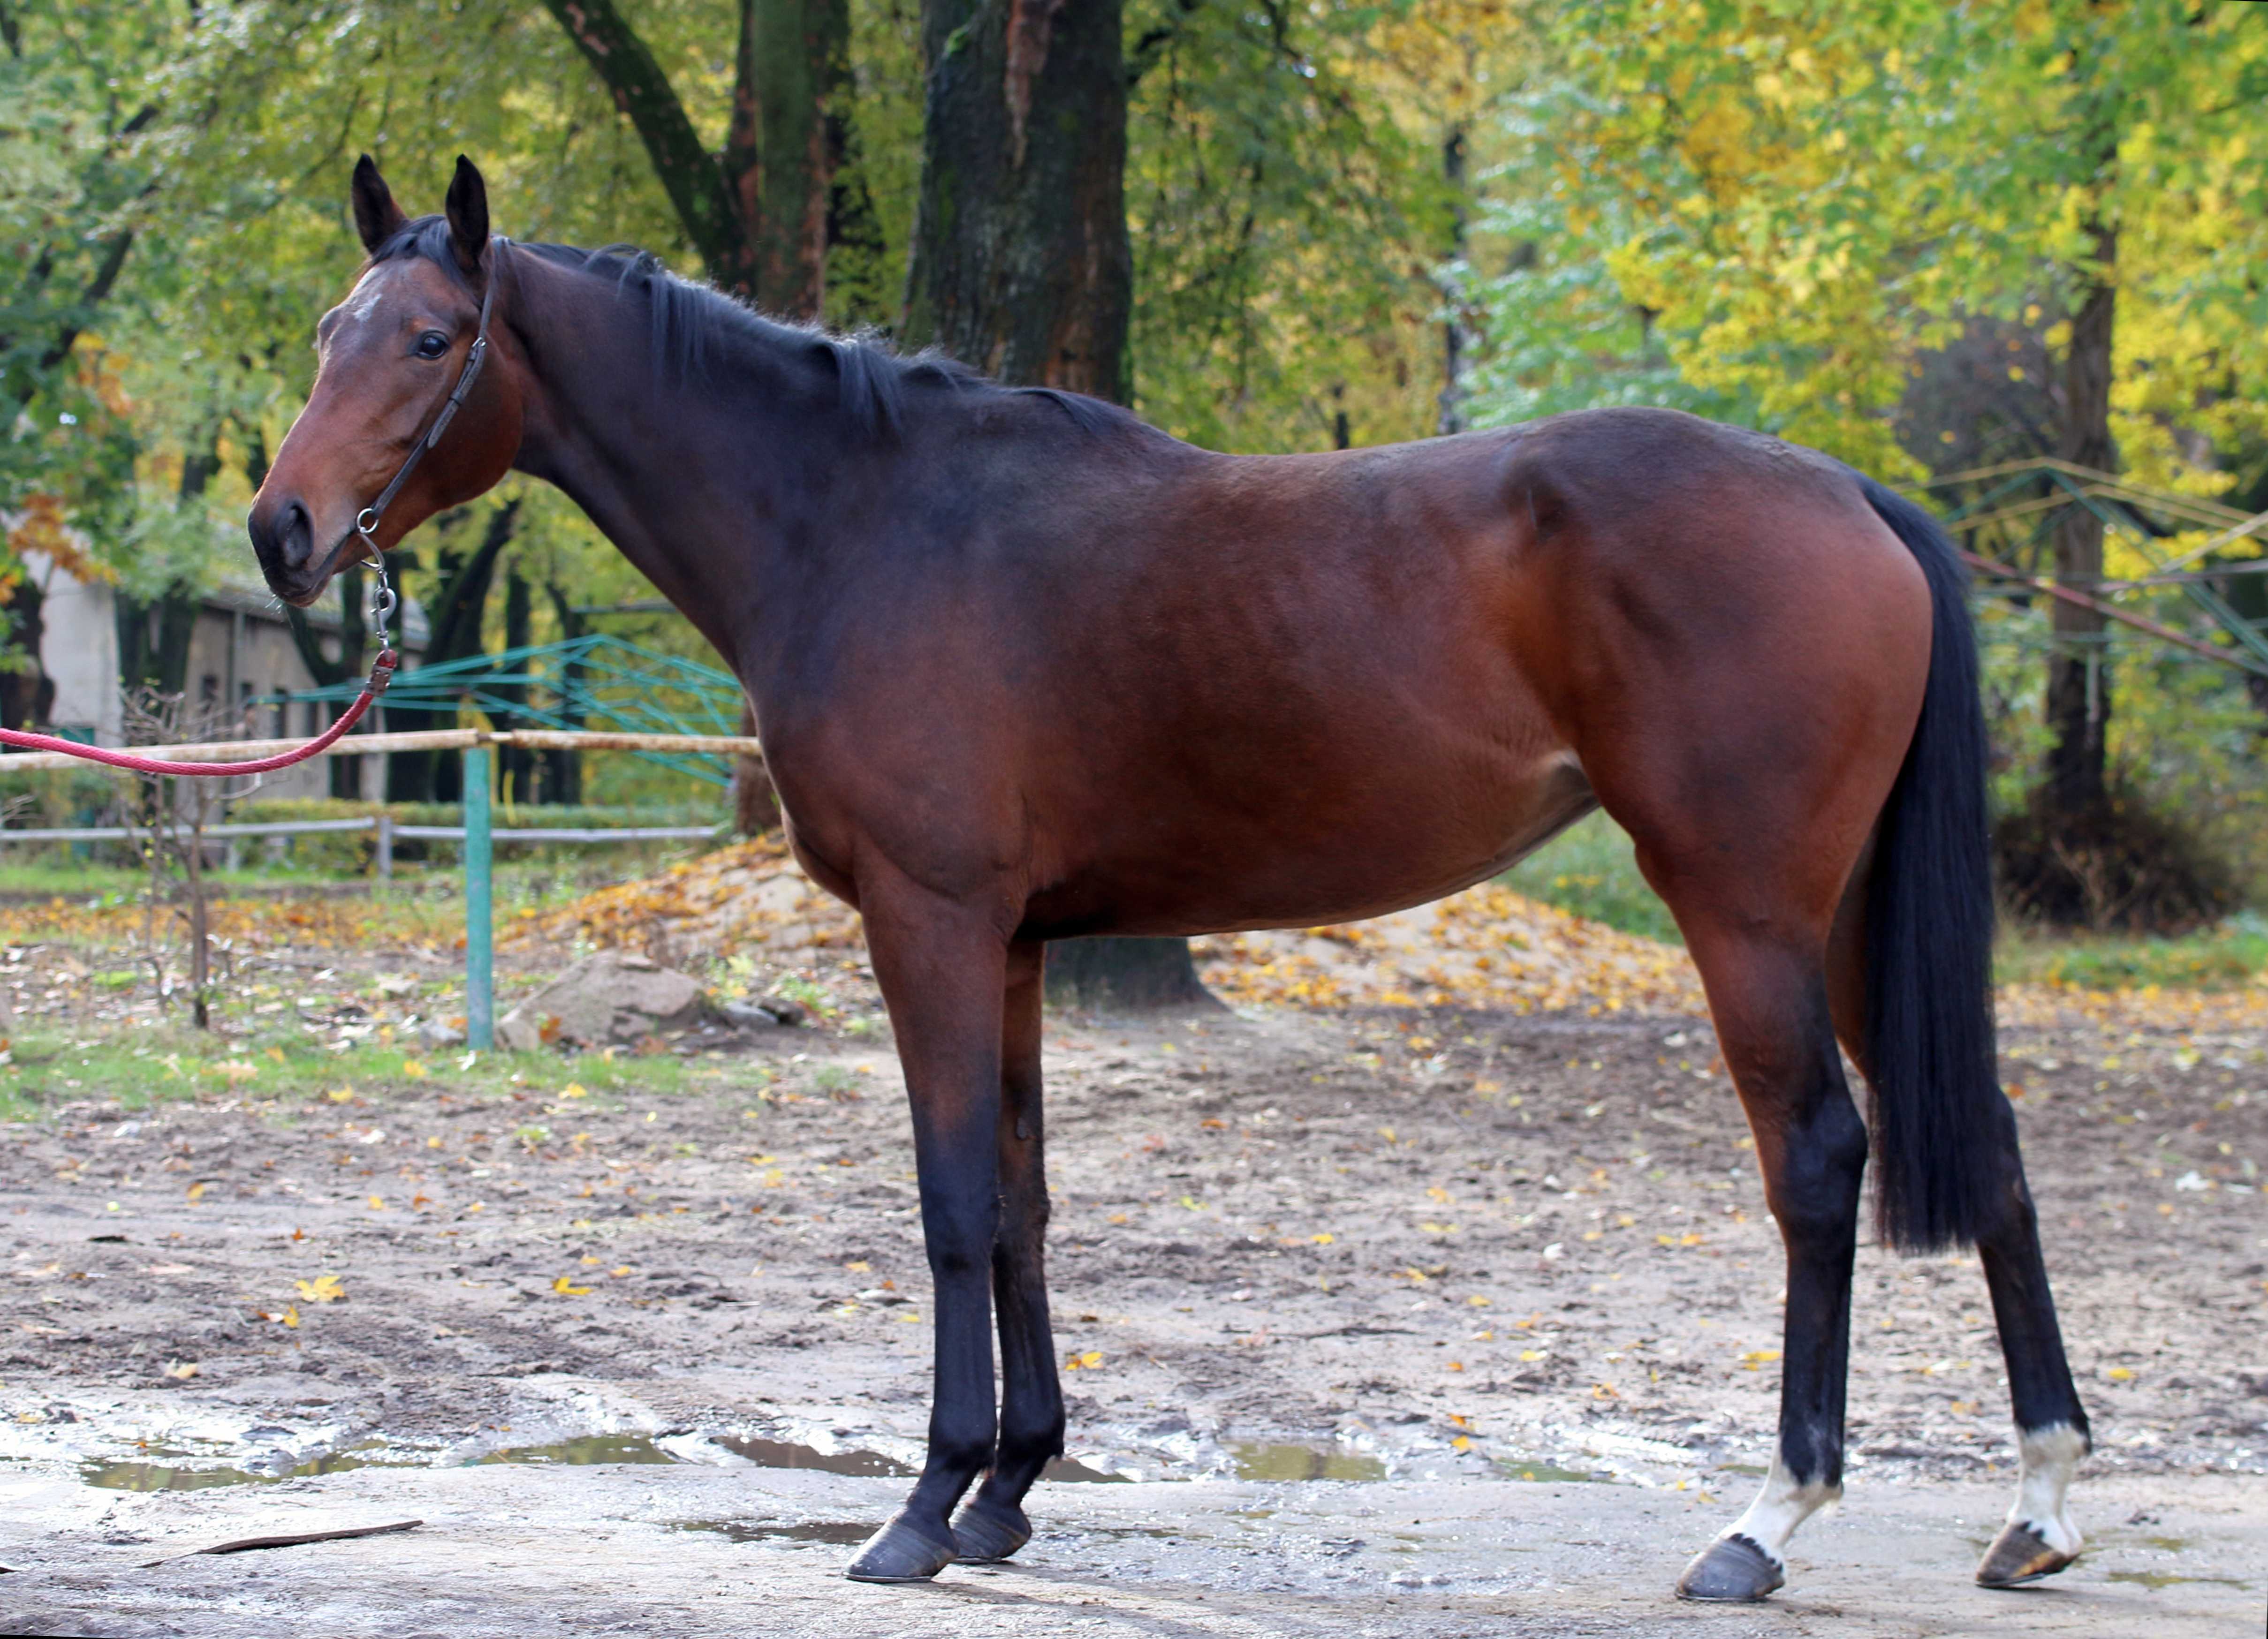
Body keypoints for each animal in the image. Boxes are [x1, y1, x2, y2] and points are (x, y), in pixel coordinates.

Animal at [245, 155, 2090, 1602]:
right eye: (328, 331)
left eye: (428, 339)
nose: (282, 530)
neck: (861, 521)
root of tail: (1848, 491)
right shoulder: (1008, 945)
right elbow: (1024, 1198)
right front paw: (1006, 1487)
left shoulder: (929, 924)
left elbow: (951, 1203)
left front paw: (921, 1504)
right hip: (1843, 916)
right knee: (1993, 1148)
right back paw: (2039, 1501)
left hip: (1745, 909)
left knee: (1820, 1161)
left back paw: (1766, 1520)